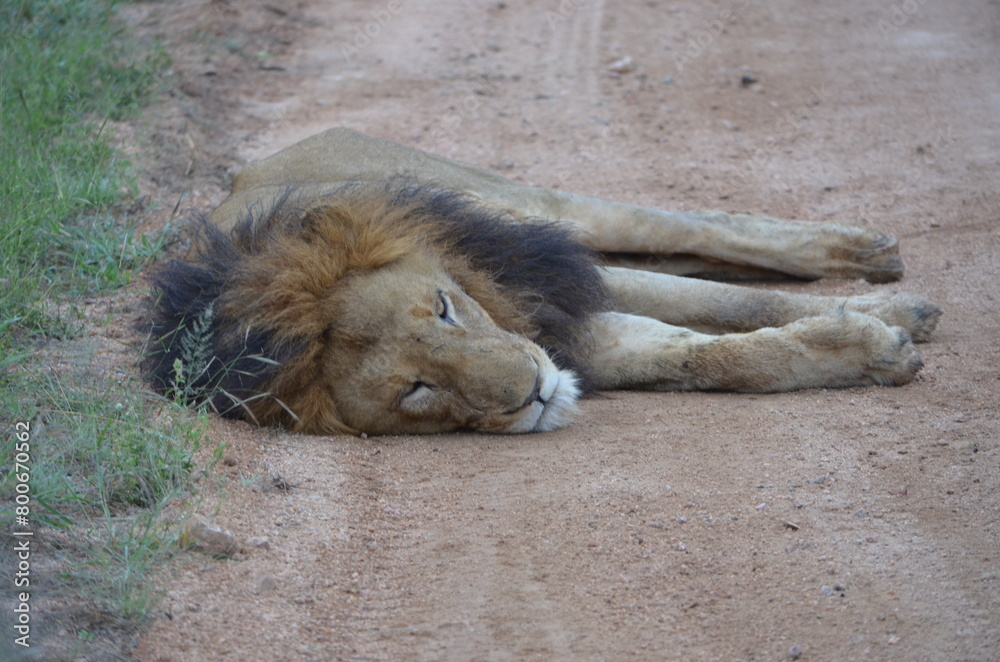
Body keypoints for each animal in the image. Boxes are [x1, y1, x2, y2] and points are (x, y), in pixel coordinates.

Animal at [142, 128, 941, 435]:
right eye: (416, 391)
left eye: (444, 308)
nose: (533, 389)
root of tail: (246, 172)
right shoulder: (570, 337)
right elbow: (716, 355)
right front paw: (867, 347)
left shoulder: (547, 284)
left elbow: (730, 303)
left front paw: (890, 324)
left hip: (510, 205)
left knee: (678, 226)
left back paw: (871, 258)